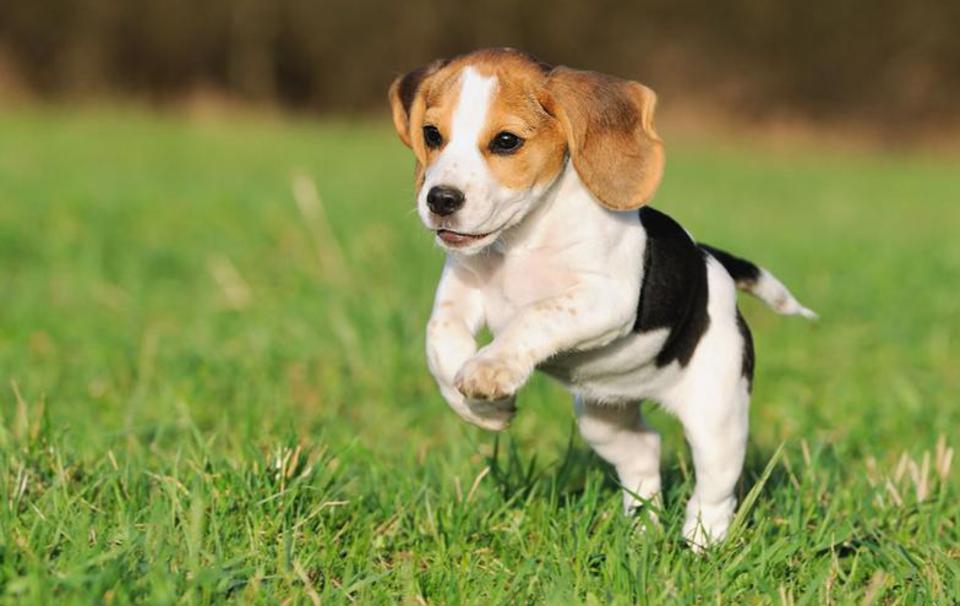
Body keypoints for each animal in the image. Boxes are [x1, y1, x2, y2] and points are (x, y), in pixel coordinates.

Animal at [386, 48, 812, 552]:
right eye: (432, 134)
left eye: (506, 141)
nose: (440, 200)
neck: (522, 238)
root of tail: (711, 259)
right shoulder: (461, 291)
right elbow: (441, 338)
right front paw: (481, 408)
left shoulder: (604, 300)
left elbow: (535, 315)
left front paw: (491, 369)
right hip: (602, 420)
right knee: (644, 452)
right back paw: (640, 532)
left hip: (717, 417)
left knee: (715, 491)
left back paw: (699, 545)